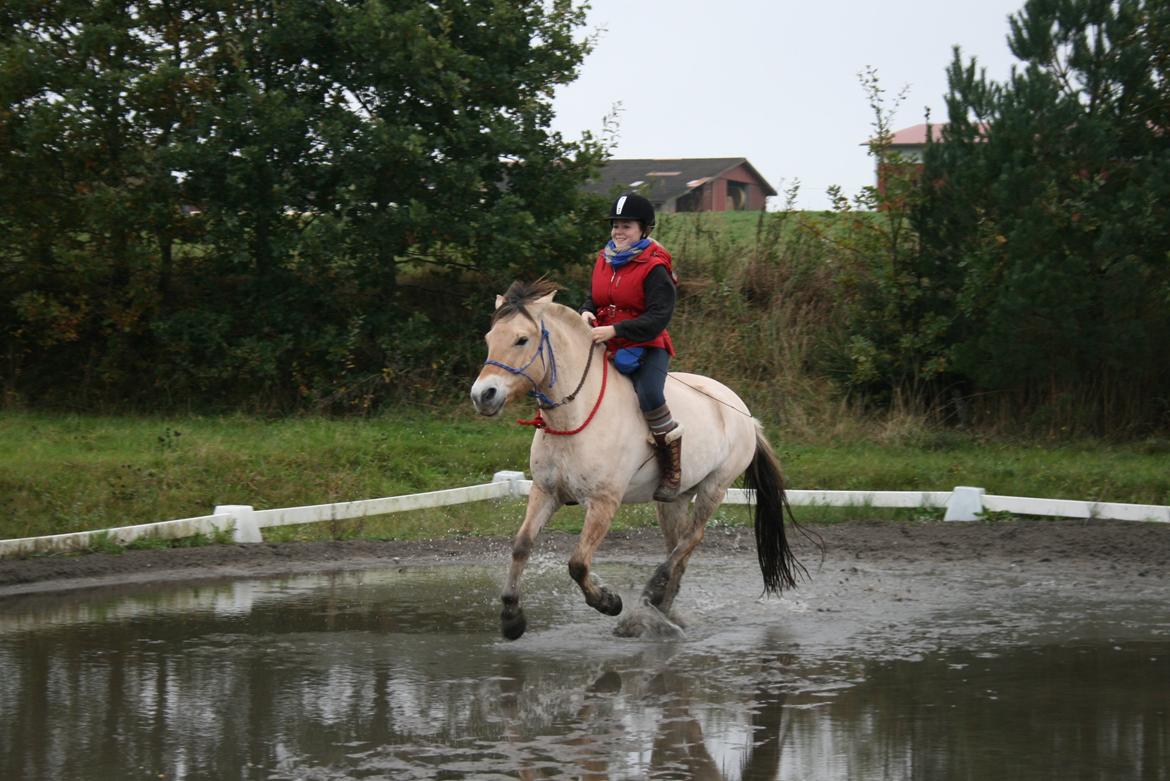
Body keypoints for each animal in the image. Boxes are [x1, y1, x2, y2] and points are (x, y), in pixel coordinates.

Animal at [467, 280, 804, 640]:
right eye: (489, 339)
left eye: (521, 339)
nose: (483, 395)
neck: (575, 415)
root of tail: (744, 413)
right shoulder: (545, 492)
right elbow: (521, 546)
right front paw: (512, 617)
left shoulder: (604, 503)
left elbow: (578, 563)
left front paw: (609, 602)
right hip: (673, 498)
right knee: (679, 547)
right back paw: (661, 607)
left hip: (714, 488)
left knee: (692, 538)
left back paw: (652, 594)